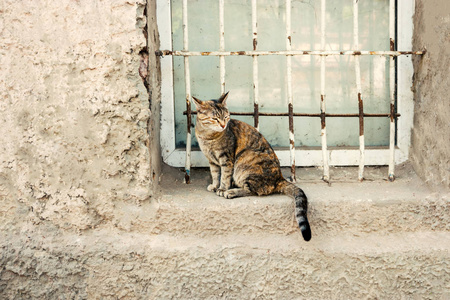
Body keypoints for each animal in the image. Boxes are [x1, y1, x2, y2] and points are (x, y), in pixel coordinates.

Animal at [192, 91, 312, 241]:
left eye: (226, 117)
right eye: (214, 118)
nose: (223, 125)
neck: (207, 137)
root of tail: (279, 178)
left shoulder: (226, 159)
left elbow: (224, 176)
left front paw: (222, 188)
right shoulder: (212, 161)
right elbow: (215, 174)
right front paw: (214, 185)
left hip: (243, 165)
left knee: (252, 190)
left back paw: (231, 192)